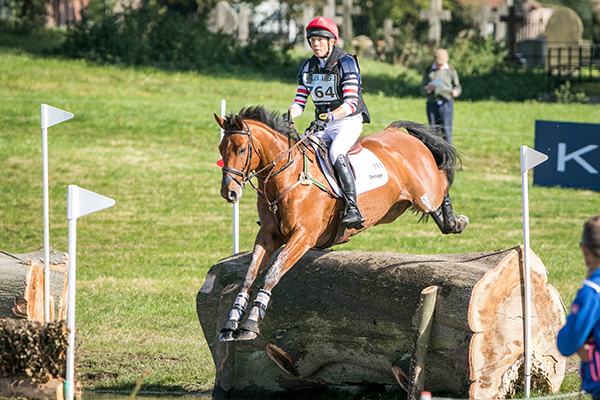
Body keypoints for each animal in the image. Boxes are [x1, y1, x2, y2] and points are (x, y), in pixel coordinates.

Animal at [213, 105, 466, 340]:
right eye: (221, 149)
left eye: (241, 149)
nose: (229, 193)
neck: (288, 176)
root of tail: (397, 132)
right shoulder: (267, 235)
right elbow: (249, 276)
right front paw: (231, 323)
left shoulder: (303, 236)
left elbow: (272, 274)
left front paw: (250, 324)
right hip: (396, 207)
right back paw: (450, 222)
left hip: (425, 194)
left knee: (442, 181)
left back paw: (457, 222)